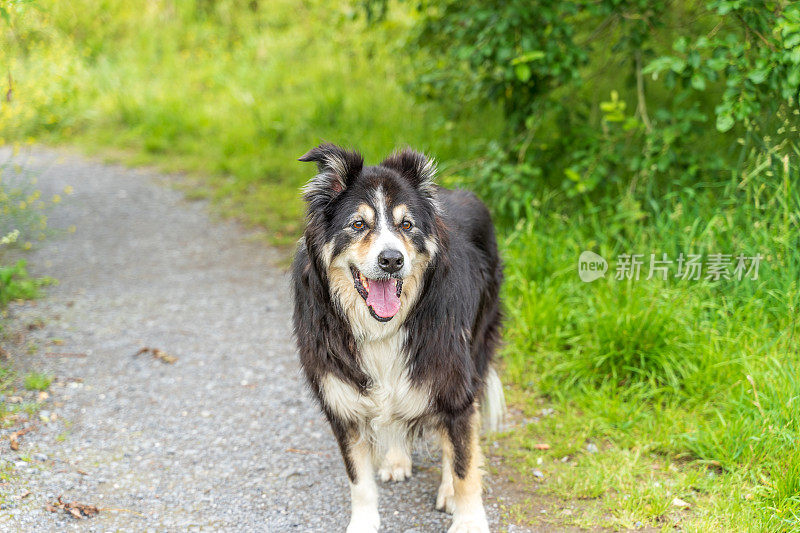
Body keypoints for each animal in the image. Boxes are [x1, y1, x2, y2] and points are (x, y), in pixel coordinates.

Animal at [294, 143, 504, 528]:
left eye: (406, 225)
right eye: (358, 224)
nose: (392, 260)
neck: (383, 327)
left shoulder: (454, 383)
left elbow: (464, 463)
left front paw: (467, 520)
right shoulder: (342, 401)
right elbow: (358, 478)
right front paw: (363, 524)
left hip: (478, 343)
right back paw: (395, 458)